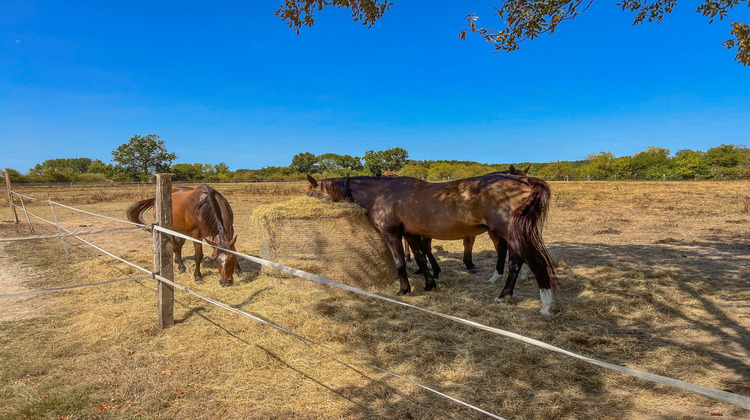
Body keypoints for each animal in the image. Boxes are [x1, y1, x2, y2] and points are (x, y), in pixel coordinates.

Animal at [306, 172, 560, 314]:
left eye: (310, 194)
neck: (380, 193)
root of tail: (525, 180)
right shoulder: (410, 234)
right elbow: (420, 258)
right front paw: (429, 284)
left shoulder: (391, 234)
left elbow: (400, 262)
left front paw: (404, 290)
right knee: (515, 263)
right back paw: (504, 295)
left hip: (510, 233)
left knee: (533, 262)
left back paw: (546, 305)